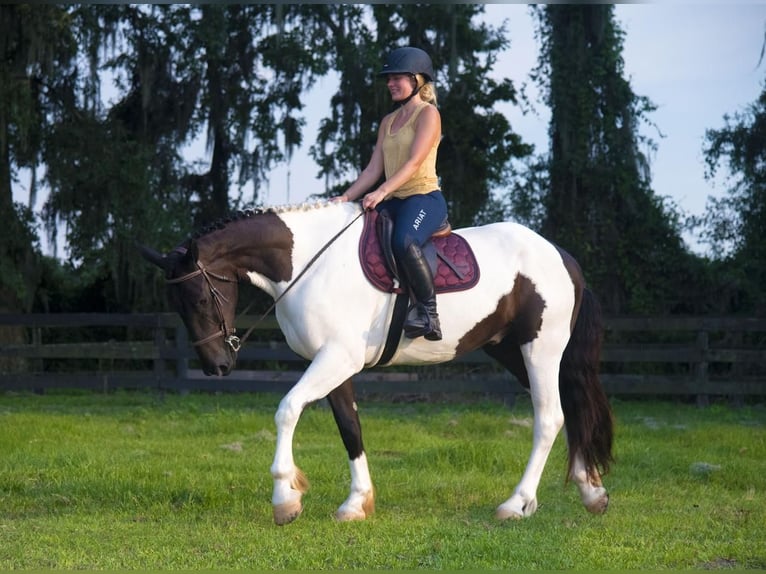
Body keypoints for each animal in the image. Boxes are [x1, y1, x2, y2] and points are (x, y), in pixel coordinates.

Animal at [141, 199, 616, 528]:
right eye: (178, 304)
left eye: (201, 298)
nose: (217, 365)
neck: (308, 263)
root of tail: (563, 257)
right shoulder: (334, 362)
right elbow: (350, 428)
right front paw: (356, 503)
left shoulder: (337, 357)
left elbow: (288, 410)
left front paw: (285, 499)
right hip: (511, 350)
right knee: (570, 411)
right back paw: (591, 492)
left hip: (541, 349)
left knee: (549, 418)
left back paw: (516, 504)